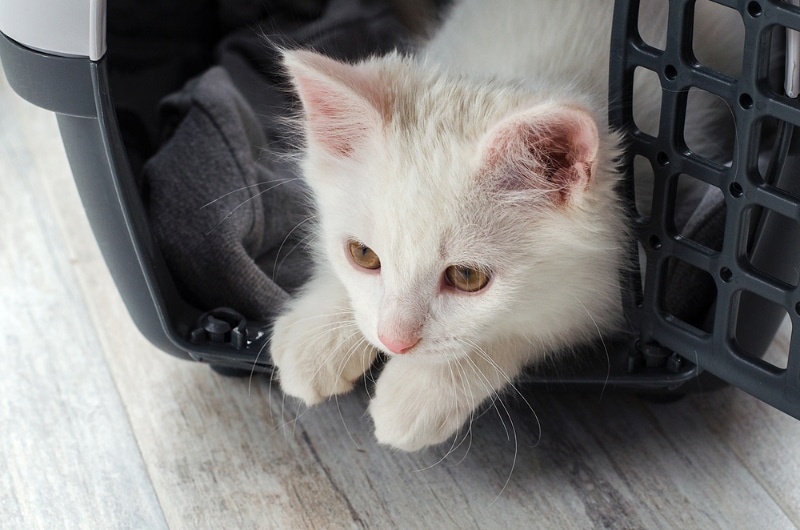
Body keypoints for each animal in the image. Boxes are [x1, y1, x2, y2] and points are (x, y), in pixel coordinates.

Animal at [270, 0, 744, 450]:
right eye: (363, 255)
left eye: (466, 277)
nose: (394, 342)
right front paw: (314, 338)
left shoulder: (620, 282)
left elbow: (533, 324)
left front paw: (419, 392)